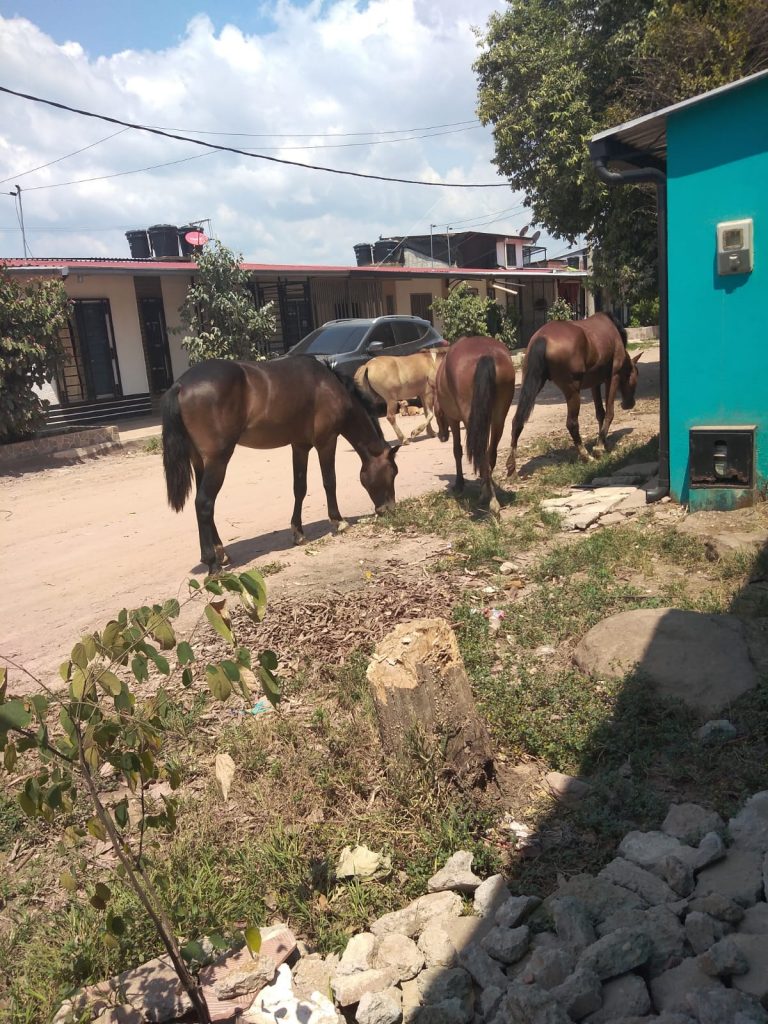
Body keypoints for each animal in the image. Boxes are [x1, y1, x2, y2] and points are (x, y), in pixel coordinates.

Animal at [162, 356, 403, 573]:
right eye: (392, 473)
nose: (389, 509)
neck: (328, 385)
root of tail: (181, 385)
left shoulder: (300, 446)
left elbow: (300, 488)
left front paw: (298, 533)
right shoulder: (326, 441)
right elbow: (329, 481)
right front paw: (338, 521)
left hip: (200, 461)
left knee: (205, 504)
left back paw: (221, 553)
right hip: (218, 460)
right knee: (204, 503)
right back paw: (212, 563)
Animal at [434, 335, 518, 512]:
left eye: (437, 414)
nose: (441, 436)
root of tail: (487, 355)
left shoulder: (453, 419)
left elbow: (457, 450)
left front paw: (459, 484)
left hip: (471, 420)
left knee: (481, 453)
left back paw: (489, 499)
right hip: (499, 417)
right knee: (490, 454)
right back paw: (488, 493)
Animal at [507, 309, 638, 473]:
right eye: (634, 376)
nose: (630, 404)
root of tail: (542, 338)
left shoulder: (595, 383)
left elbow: (600, 413)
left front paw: (603, 442)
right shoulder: (613, 377)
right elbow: (609, 412)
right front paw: (599, 448)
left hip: (532, 383)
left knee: (517, 420)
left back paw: (511, 466)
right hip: (572, 391)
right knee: (572, 423)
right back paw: (585, 456)